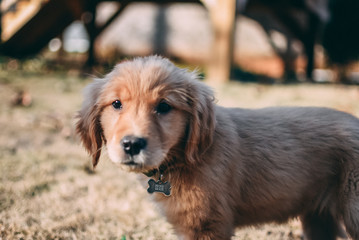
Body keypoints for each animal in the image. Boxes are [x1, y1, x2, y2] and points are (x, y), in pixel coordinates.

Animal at [76, 55, 359, 239]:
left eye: (164, 107)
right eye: (116, 104)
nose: (132, 144)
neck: (184, 158)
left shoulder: (209, 226)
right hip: (318, 219)